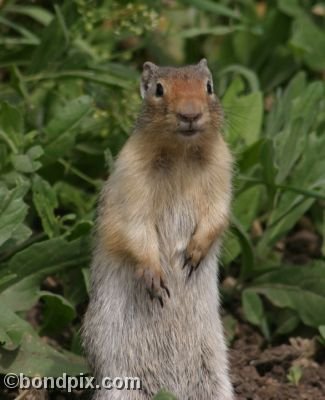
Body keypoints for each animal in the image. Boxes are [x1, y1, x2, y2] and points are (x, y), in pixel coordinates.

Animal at [81, 59, 233, 400]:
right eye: (158, 89)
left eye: (209, 86)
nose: (190, 114)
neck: (181, 153)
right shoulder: (131, 181)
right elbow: (136, 228)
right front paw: (154, 276)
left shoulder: (222, 173)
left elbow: (217, 214)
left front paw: (194, 253)